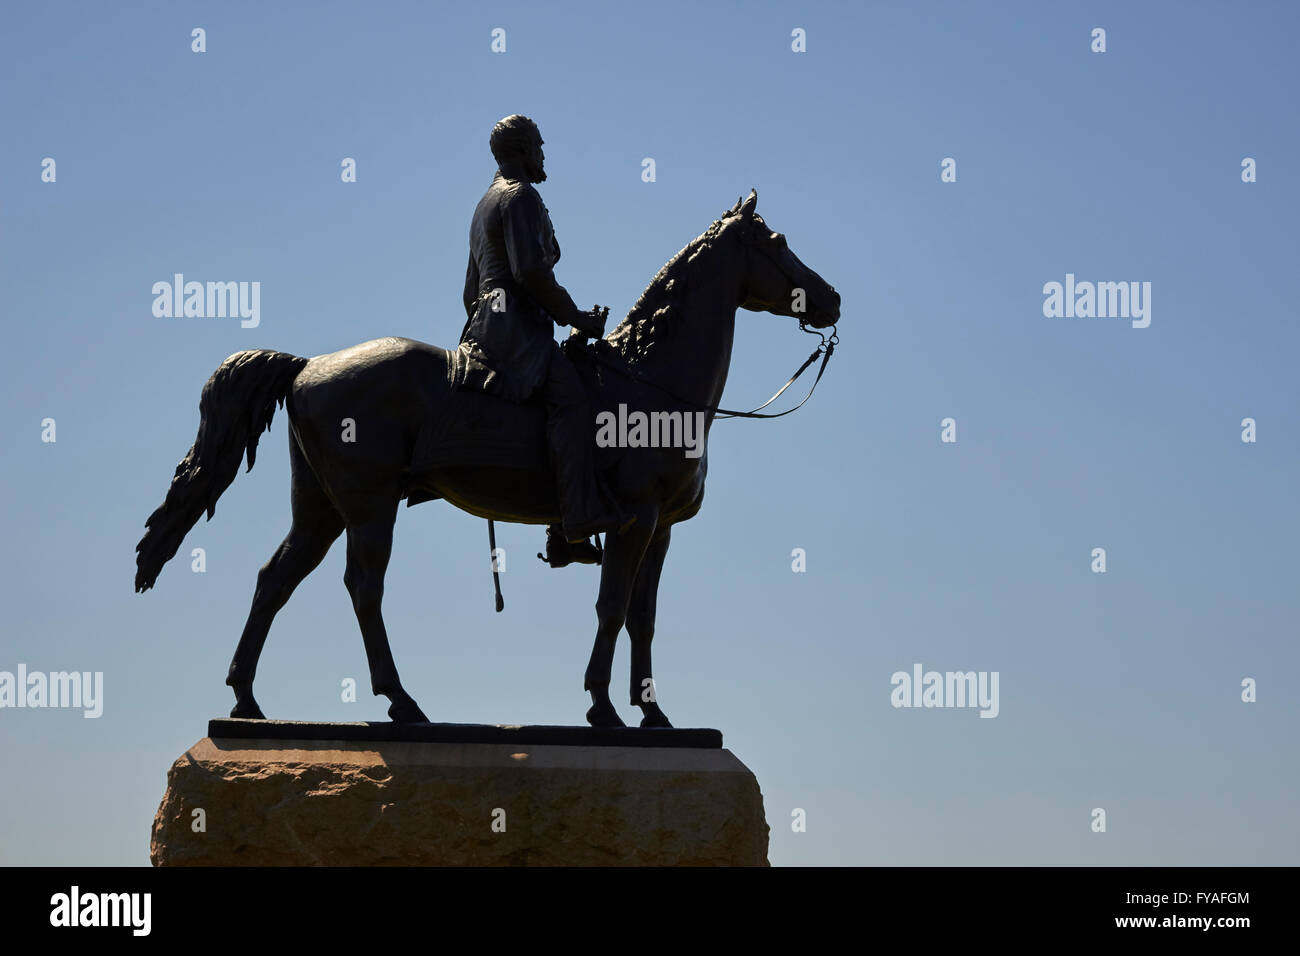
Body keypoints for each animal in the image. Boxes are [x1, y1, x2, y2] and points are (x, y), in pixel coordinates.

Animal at [134, 191, 842, 728]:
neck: (650, 382)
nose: (831, 298)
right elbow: (612, 608)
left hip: (320, 510)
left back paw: (247, 701)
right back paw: (401, 702)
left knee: (275, 579)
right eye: (779, 240)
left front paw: (653, 714)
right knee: (363, 587)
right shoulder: (634, 521)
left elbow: (643, 617)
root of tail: (308, 366)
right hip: (368, 507)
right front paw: (603, 708)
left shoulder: (659, 528)